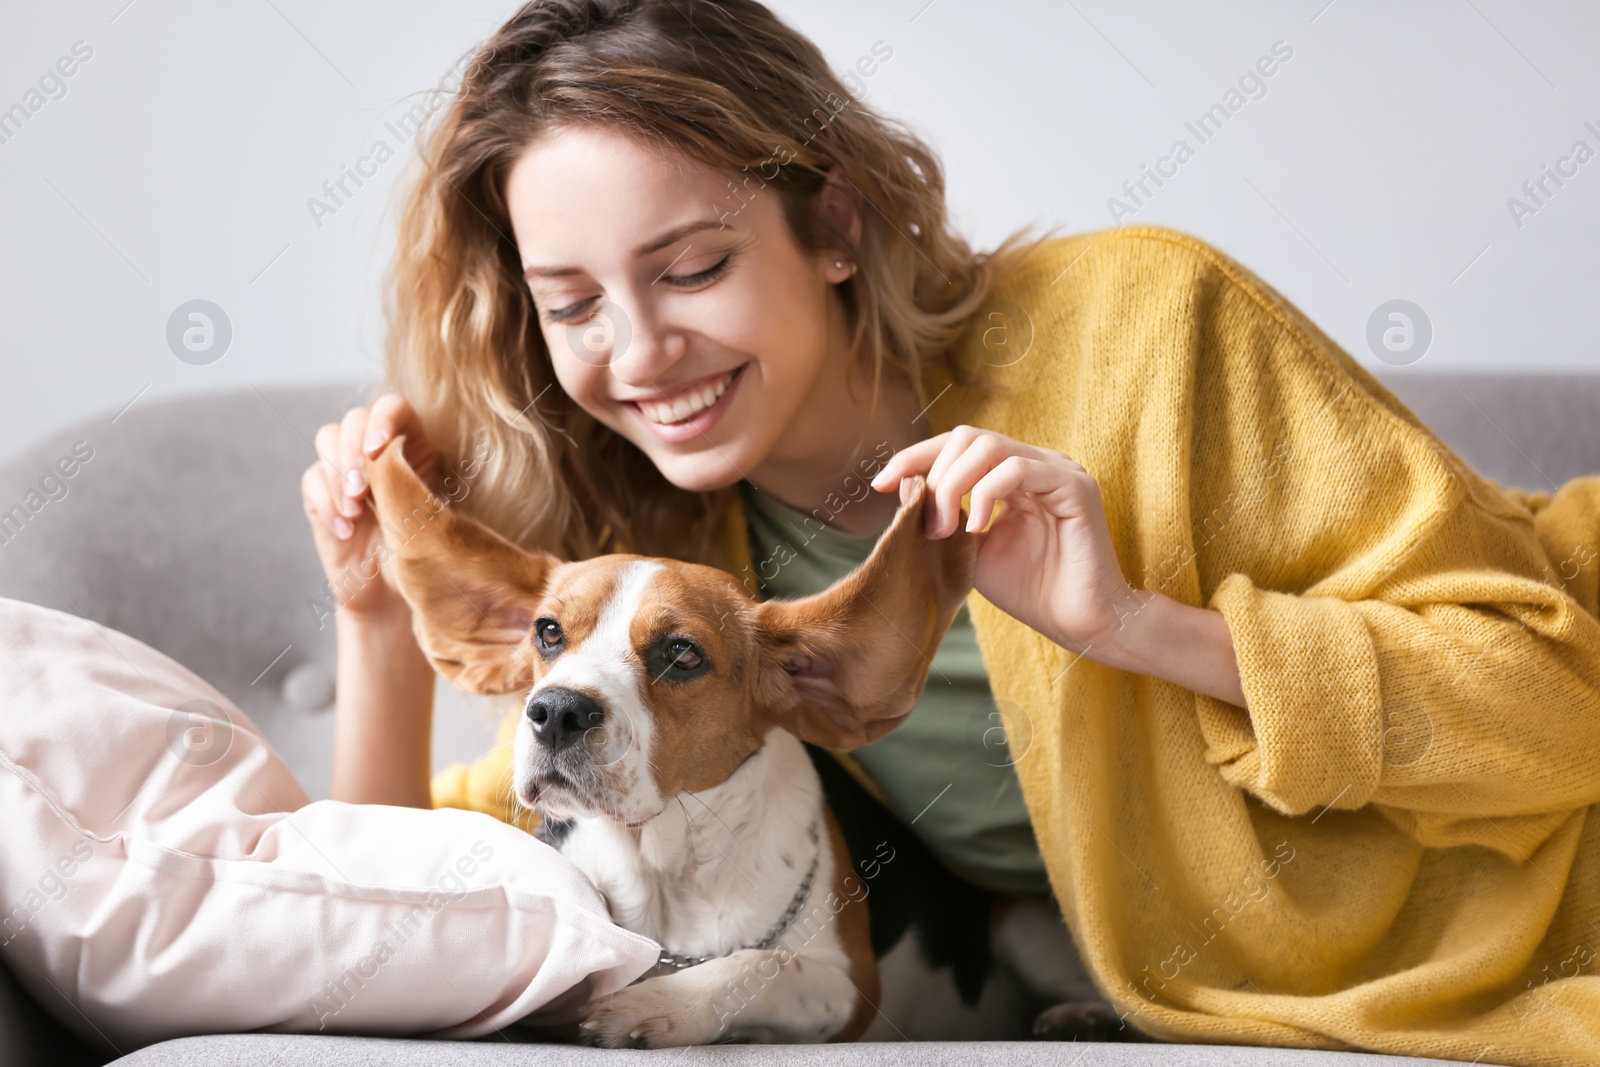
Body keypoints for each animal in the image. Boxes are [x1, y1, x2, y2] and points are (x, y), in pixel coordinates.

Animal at [364, 438, 979, 1049]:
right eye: (548, 631)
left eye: (683, 654)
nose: (557, 711)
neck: (662, 862)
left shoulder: (853, 990)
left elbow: (764, 963)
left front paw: (660, 1005)